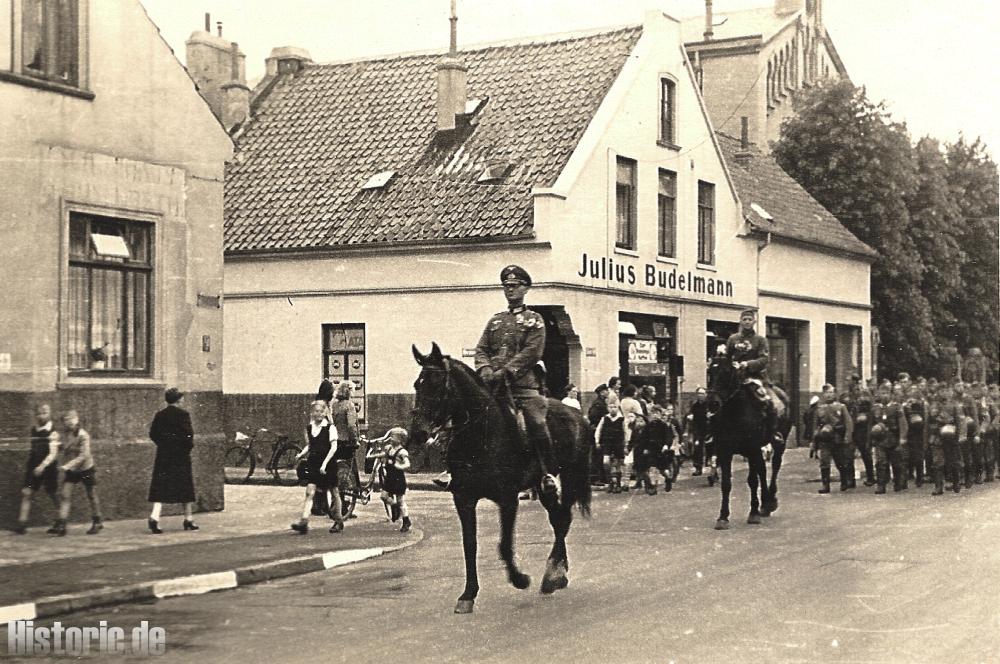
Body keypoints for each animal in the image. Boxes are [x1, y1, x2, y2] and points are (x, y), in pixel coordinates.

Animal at [408, 344, 588, 616]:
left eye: (438, 385)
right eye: (418, 384)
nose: (418, 432)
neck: (481, 433)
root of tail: (577, 414)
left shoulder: (507, 498)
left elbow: (504, 544)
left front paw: (519, 579)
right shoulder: (464, 498)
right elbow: (469, 545)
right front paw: (468, 594)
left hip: (569, 476)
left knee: (563, 519)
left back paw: (552, 576)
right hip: (542, 487)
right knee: (558, 519)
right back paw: (558, 573)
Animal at [708, 356, 784, 532]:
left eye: (726, 373)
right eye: (709, 372)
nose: (712, 403)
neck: (735, 412)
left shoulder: (752, 448)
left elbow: (752, 481)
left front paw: (754, 513)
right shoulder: (724, 450)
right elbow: (726, 483)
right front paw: (723, 517)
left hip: (776, 442)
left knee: (775, 465)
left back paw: (770, 500)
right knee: (763, 470)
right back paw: (766, 504)